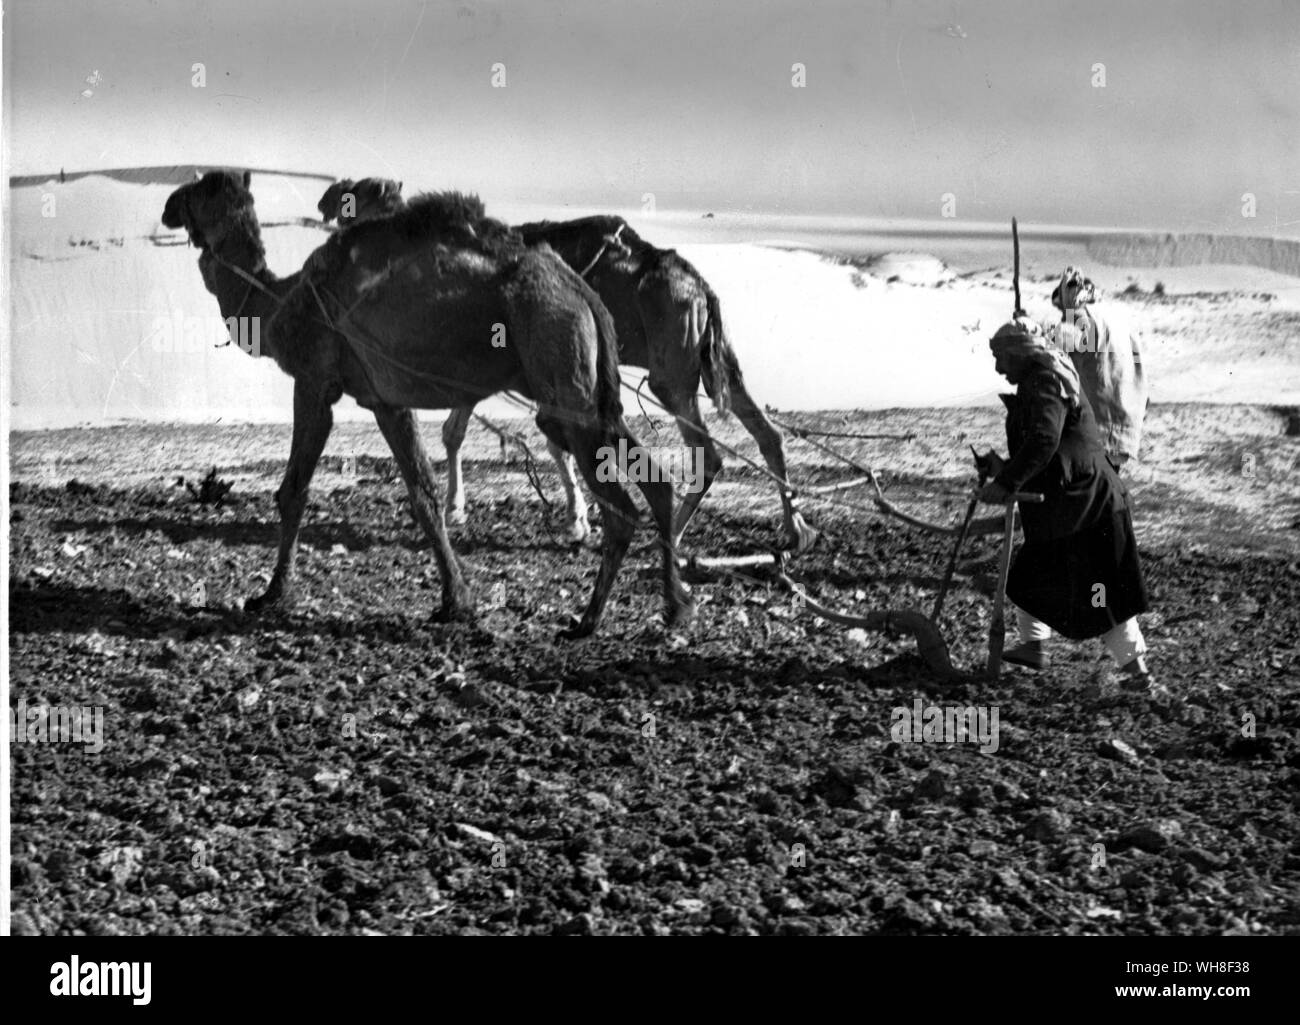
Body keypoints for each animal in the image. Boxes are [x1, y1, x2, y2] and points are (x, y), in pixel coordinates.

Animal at [163, 167, 696, 637]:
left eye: (195, 190)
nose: (167, 207)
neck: (277, 297)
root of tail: (583, 293)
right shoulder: (384, 400)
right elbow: (423, 492)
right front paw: (455, 601)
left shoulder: (314, 382)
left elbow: (294, 490)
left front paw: (271, 595)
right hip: (589, 393)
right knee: (657, 481)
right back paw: (674, 606)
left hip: (560, 368)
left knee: (620, 506)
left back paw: (588, 621)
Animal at [317, 175, 811, 551]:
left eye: (355, 195)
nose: (327, 206)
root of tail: (702, 288)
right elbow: (467, 432)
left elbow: (526, 437)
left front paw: (574, 520)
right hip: (718, 358)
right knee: (768, 433)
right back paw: (796, 529)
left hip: (671, 368)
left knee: (708, 452)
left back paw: (670, 536)